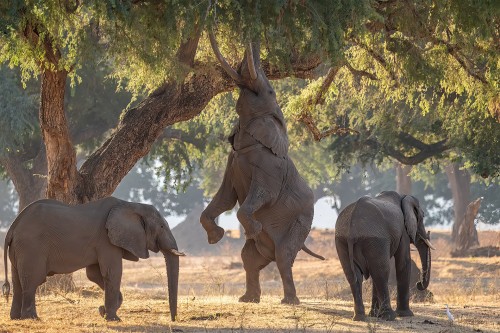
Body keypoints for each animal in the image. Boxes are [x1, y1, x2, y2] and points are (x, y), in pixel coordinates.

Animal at [0, 197, 185, 320]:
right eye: (162, 226)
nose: (173, 320)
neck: (130, 205)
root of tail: (12, 227)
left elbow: (95, 274)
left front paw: (103, 312)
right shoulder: (106, 239)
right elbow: (112, 272)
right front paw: (113, 319)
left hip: (20, 248)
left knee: (18, 281)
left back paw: (15, 317)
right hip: (31, 247)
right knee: (32, 280)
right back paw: (32, 318)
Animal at [199, 30, 324, 304]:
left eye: (269, 91)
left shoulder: (270, 167)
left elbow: (263, 194)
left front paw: (253, 227)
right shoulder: (232, 161)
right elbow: (225, 197)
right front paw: (216, 237)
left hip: (300, 222)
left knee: (284, 256)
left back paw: (289, 301)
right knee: (249, 258)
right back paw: (248, 299)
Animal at [334, 191, 436, 320]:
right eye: (422, 217)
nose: (419, 284)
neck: (403, 197)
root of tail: (353, 225)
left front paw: (374, 315)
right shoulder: (403, 231)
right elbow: (403, 262)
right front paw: (406, 315)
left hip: (342, 240)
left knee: (354, 274)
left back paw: (360, 317)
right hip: (375, 239)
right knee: (381, 272)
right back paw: (390, 316)